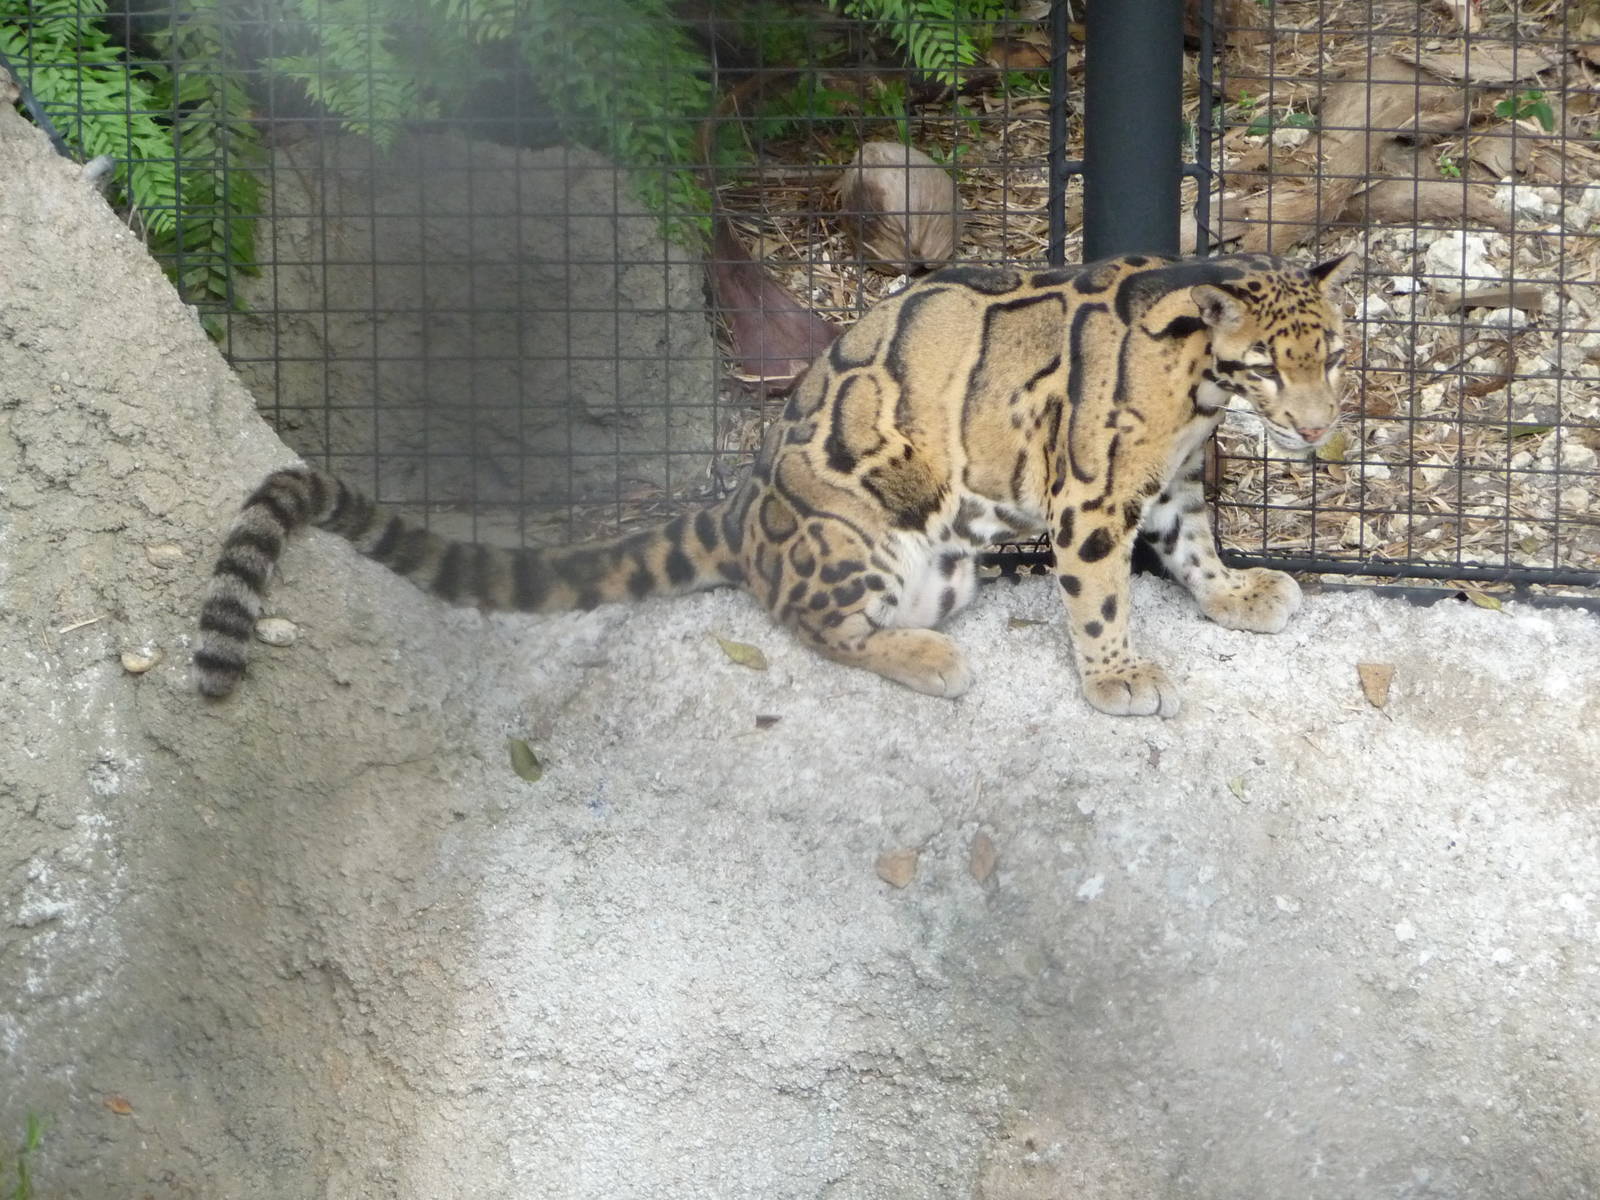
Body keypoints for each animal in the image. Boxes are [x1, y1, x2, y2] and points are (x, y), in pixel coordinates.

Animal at [195, 251, 1353, 718]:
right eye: (1268, 365)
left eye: (1332, 352)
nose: (1317, 428)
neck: (1200, 389)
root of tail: (743, 510)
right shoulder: (1093, 497)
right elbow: (1103, 594)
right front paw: (1116, 675)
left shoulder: (1174, 481)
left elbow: (1196, 546)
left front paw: (1236, 592)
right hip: (864, 537)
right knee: (813, 622)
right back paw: (929, 659)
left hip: (943, 569)